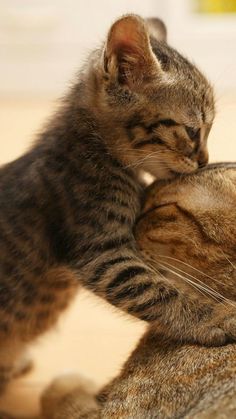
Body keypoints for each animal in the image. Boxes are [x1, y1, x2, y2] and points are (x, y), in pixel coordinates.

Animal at [0, 13, 230, 396]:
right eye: (193, 131)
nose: (204, 160)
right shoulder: (100, 251)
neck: (96, 148)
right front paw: (214, 316)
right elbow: (155, 290)